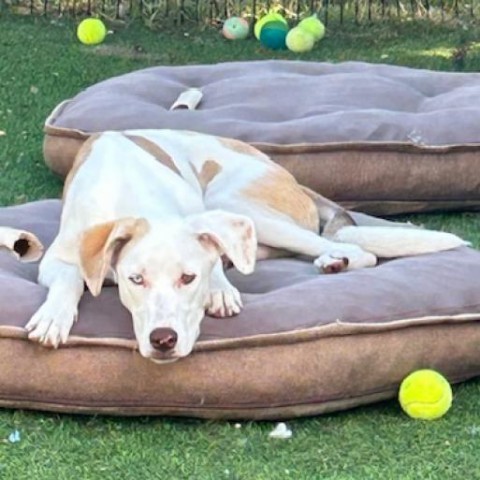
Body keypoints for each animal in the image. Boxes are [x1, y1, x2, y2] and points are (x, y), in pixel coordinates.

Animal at [24, 129, 466, 362]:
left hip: (235, 199)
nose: (163, 340)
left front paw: (219, 290)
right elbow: (68, 279)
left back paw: (333, 259)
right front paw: (53, 317)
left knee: (349, 246)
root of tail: (287, 174)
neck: (130, 192)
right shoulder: (57, 258)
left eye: (189, 278)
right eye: (136, 280)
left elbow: (214, 251)